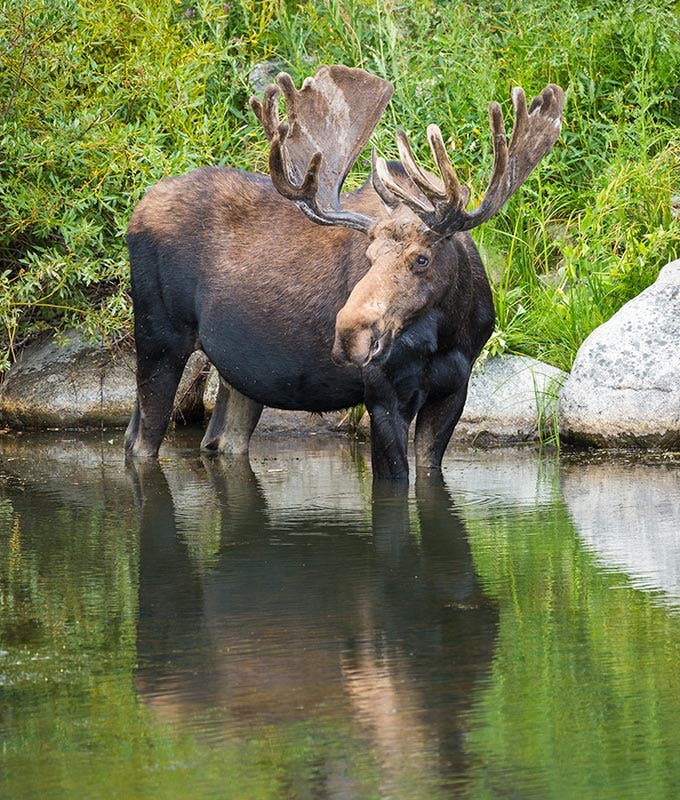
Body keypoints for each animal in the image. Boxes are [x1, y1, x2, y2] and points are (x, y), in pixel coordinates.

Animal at [124, 65, 564, 480]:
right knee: (140, 442)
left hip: (239, 372)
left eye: (421, 258)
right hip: (159, 338)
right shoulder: (383, 396)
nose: (351, 333)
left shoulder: (454, 391)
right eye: (369, 256)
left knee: (218, 441)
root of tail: (136, 211)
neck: (449, 332)